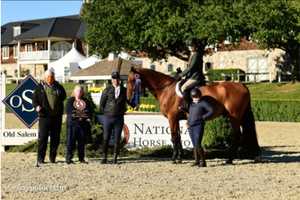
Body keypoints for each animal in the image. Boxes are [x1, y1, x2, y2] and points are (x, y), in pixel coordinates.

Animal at [126, 67, 260, 164]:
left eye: (131, 80)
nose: (129, 101)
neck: (166, 89)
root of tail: (242, 85)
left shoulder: (172, 117)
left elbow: (174, 137)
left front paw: (174, 159)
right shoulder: (177, 119)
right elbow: (178, 137)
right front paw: (180, 157)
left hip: (235, 117)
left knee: (237, 136)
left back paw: (230, 159)